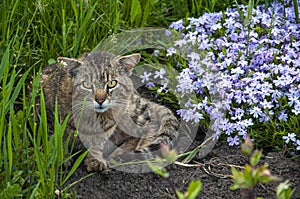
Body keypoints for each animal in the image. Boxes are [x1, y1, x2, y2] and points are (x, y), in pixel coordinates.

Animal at [40, 51, 180, 171]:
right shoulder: (47, 116)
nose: (100, 100)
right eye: (87, 84)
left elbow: (97, 144)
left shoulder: (107, 128)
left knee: (147, 127)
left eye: (112, 83)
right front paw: (60, 156)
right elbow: (55, 139)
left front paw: (95, 160)